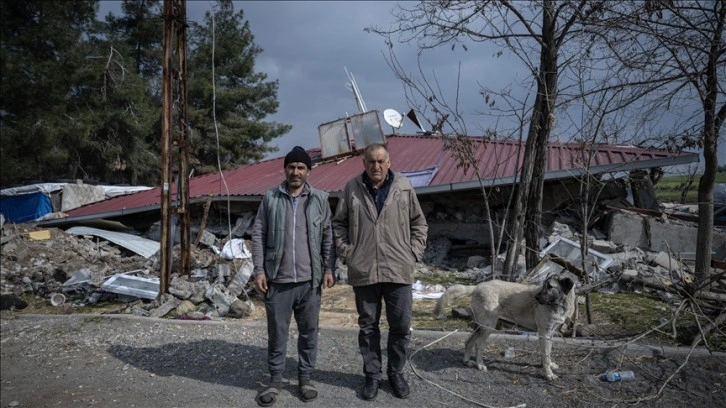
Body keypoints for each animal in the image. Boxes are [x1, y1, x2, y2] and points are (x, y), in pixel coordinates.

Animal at [436, 272, 576, 380]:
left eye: (550, 286)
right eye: (544, 285)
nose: (536, 297)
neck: (559, 304)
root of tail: (478, 286)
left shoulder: (549, 333)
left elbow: (548, 353)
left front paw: (549, 365)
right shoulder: (544, 333)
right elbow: (546, 355)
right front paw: (548, 374)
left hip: (481, 326)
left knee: (469, 341)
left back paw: (467, 361)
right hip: (488, 326)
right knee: (479, 344)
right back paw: (479, 364)